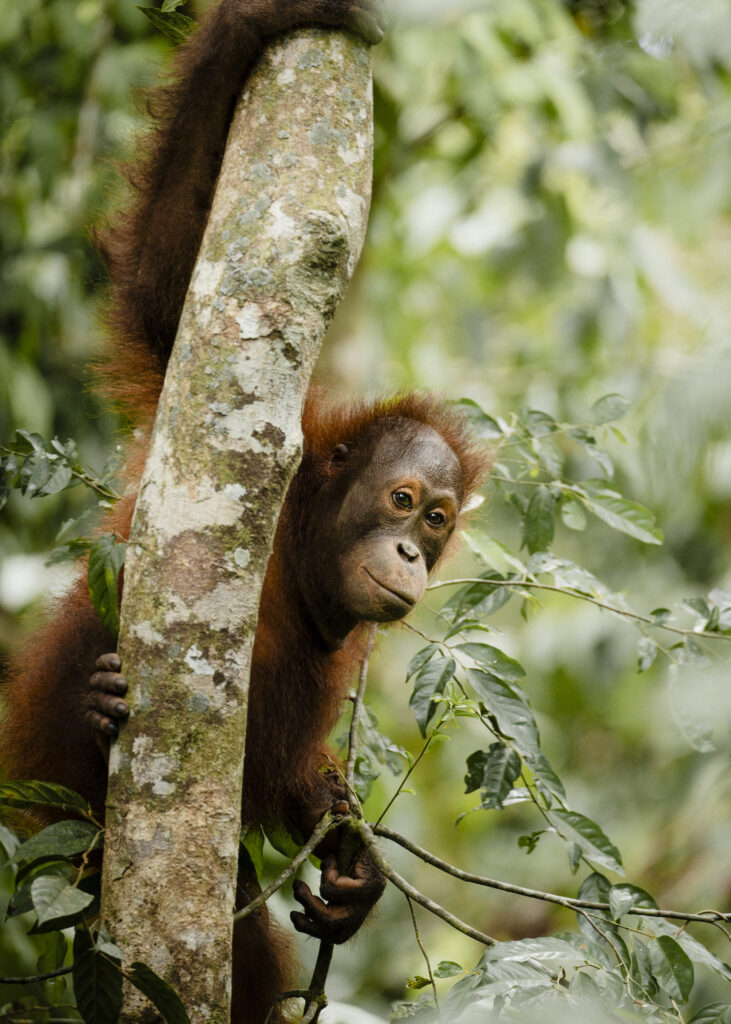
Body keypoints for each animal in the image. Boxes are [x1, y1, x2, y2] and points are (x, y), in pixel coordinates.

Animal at [0, 2, 491, 1021]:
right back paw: (96, 704)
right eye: (400, 500)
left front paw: (352, 865)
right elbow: (165, 291)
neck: (300, 550)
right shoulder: (273, 447)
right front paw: (257, 21)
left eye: (435, 521)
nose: (409, 554)